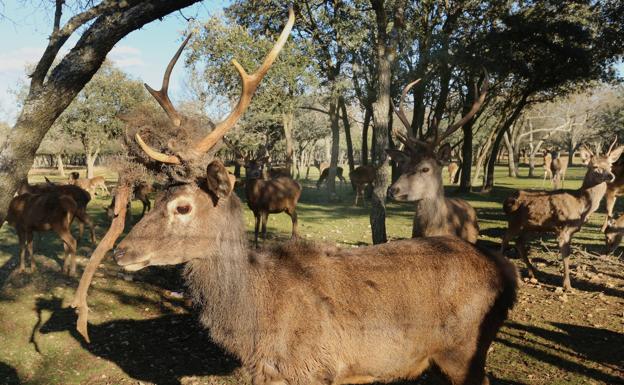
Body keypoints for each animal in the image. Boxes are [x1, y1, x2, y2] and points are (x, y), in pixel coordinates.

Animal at [502, 142, 624, 290]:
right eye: (595, 166)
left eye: (610, 166)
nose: (610, 176)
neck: (581, 204)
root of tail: (507, 201)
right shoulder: (562, 229)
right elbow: (565, 255)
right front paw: (567, 285)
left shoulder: (571, 231)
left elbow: (568, 253)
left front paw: (567, 284)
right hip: (515, 221)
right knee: (505, 238)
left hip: (530, 226)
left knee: (519, 242)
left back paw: (533, 273)